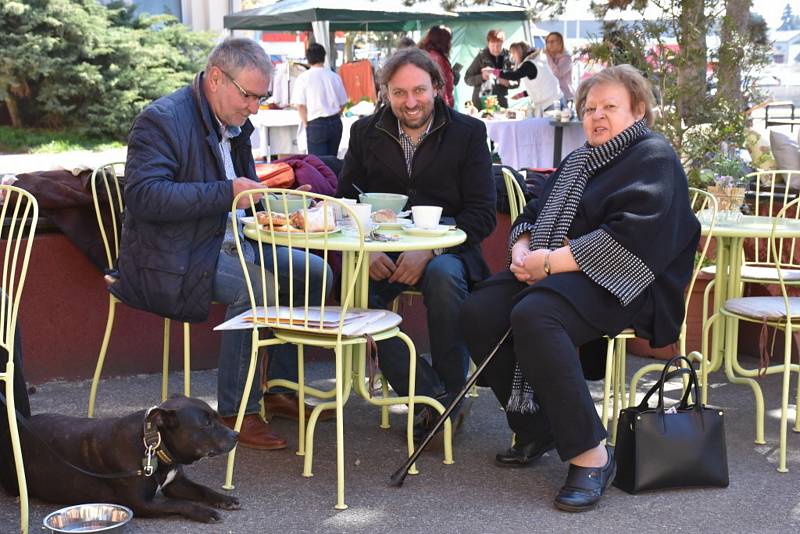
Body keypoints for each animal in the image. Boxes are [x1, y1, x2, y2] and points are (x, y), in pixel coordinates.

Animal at [7, 398, 241, 524]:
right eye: (206, 424)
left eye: (217, 417)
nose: (236, 434)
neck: (154, 444)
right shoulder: (141, 504)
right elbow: (179, 503)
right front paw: (205, 512)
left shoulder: (175, 483)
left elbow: (202, 489)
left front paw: (225, 499)